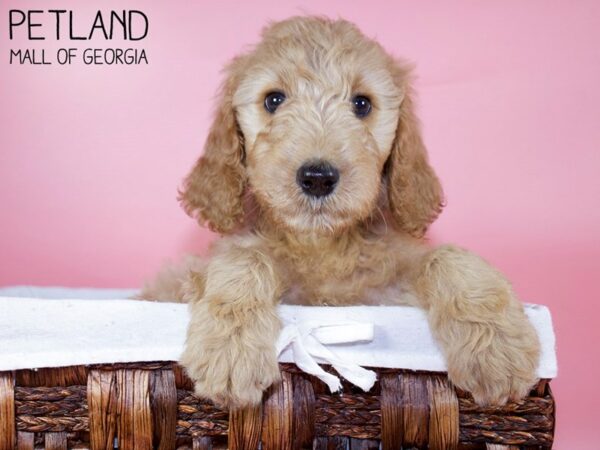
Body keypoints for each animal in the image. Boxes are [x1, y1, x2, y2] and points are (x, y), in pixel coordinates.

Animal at [144, 15, 540, 410]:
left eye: (362, 104)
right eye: (274, 100)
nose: (318, 177)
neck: (322, 246)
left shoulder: (388, 291)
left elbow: (447, 257)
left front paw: (497, 348)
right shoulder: (190, 275)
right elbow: (245, 257)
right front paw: (232, 351)